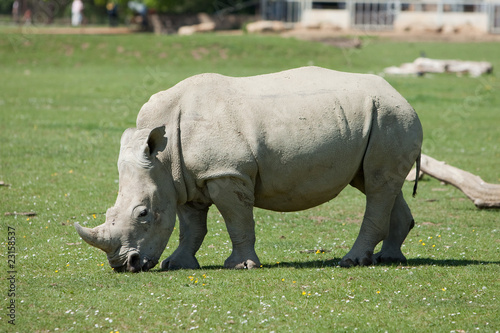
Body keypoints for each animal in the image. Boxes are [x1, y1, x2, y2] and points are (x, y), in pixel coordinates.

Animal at [76, 66, 424, 272]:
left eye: (143, 213)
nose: (124, 264)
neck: (164, 155)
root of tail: (402, 96)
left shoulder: (226, 172)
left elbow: (237, 220)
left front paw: (241, 266)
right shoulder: (185, 179)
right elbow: (191, 226)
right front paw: (177, 265)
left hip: (390, 117)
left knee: (378, 185)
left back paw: (352, 261)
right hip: (377, 119)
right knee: (378, 183)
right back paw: (389, 258)